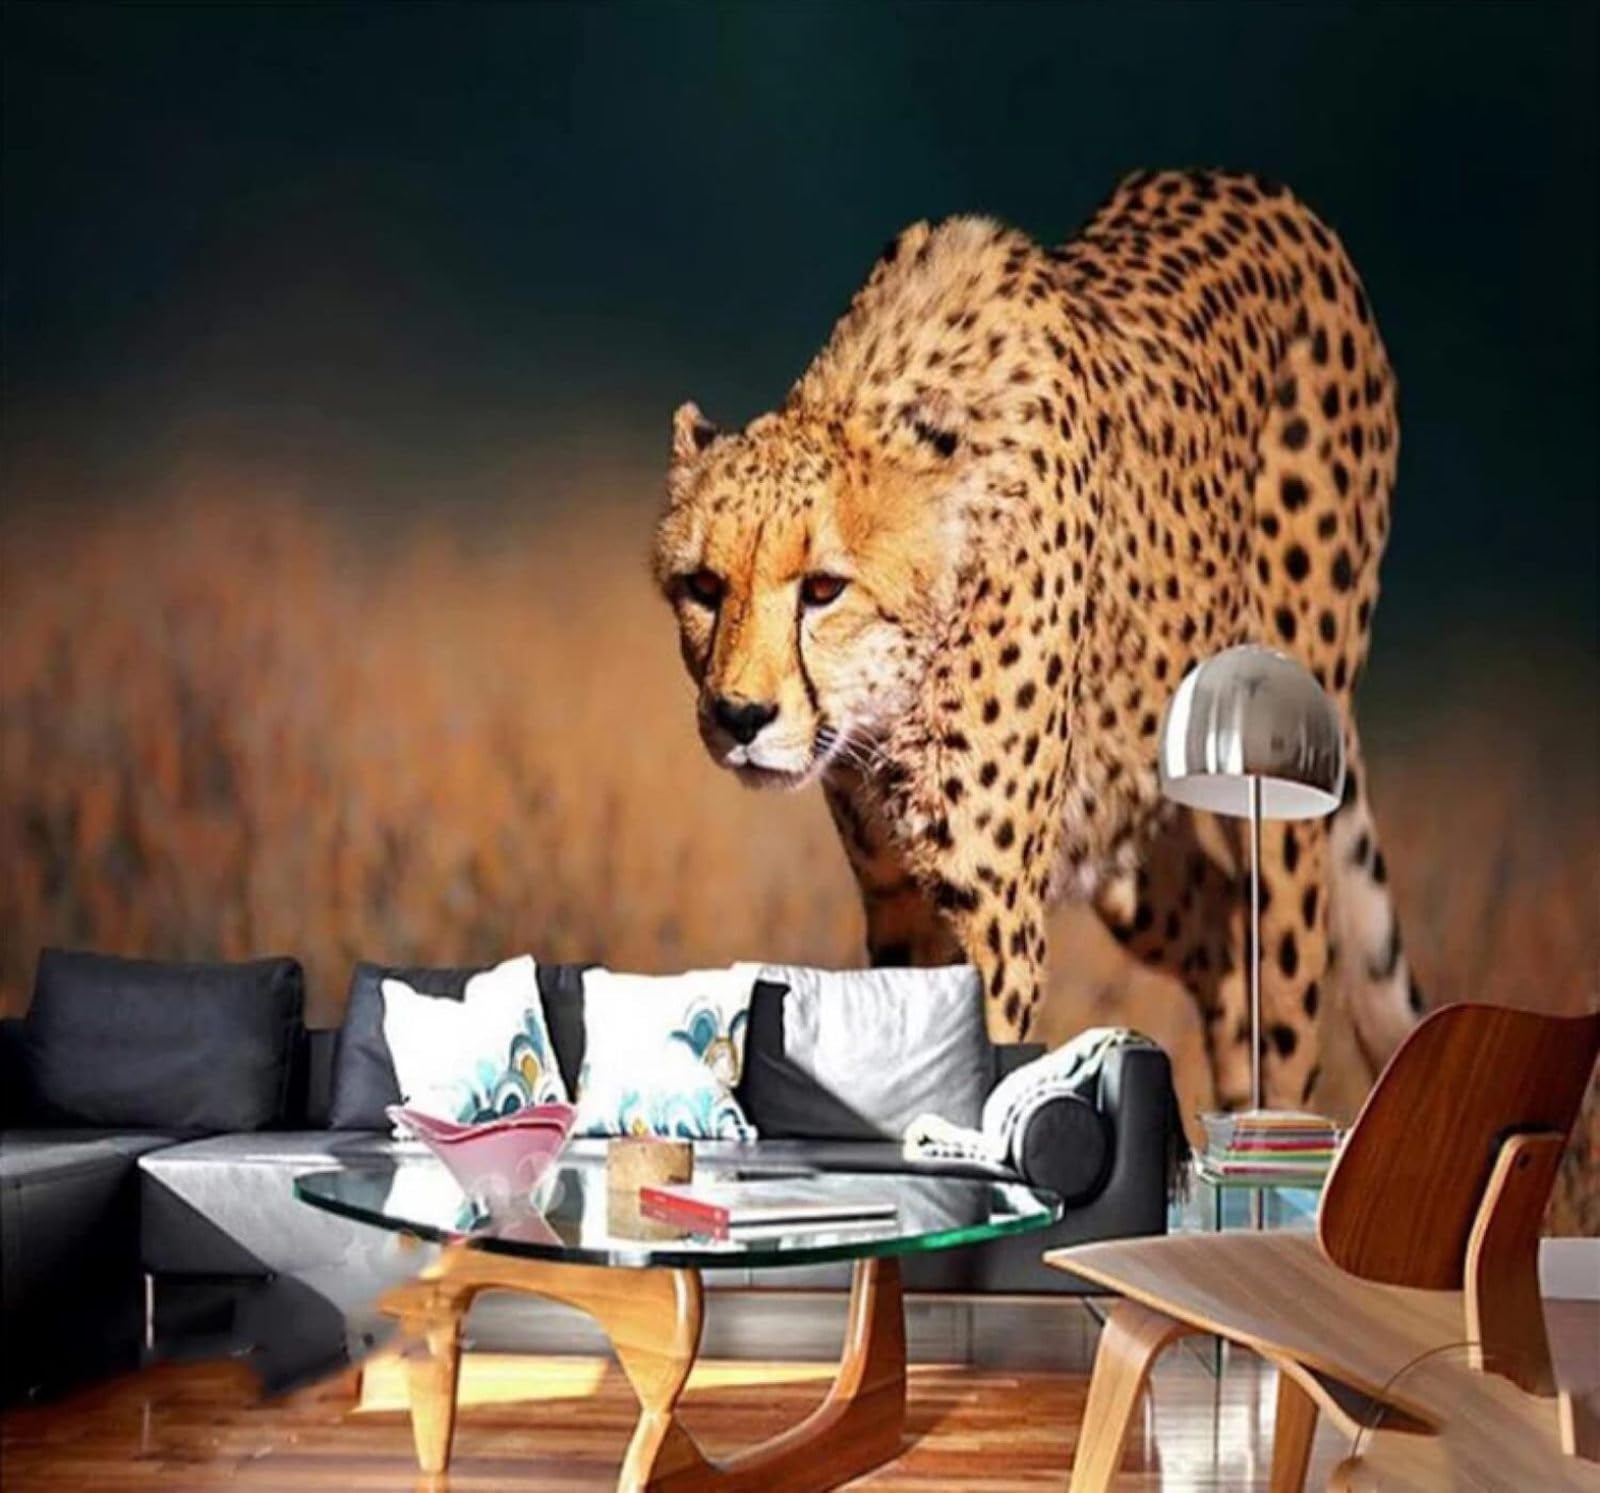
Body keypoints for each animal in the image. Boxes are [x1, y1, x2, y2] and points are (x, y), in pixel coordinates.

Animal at [652, 169, 1422, 1110]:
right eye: (703, 586)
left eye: (824, 589)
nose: (740, 715)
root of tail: (1255, 187)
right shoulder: (899, 899)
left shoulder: (994, 911)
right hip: (1126, 841)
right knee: (1217, 941)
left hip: (1274, 803)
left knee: (1281, 986)